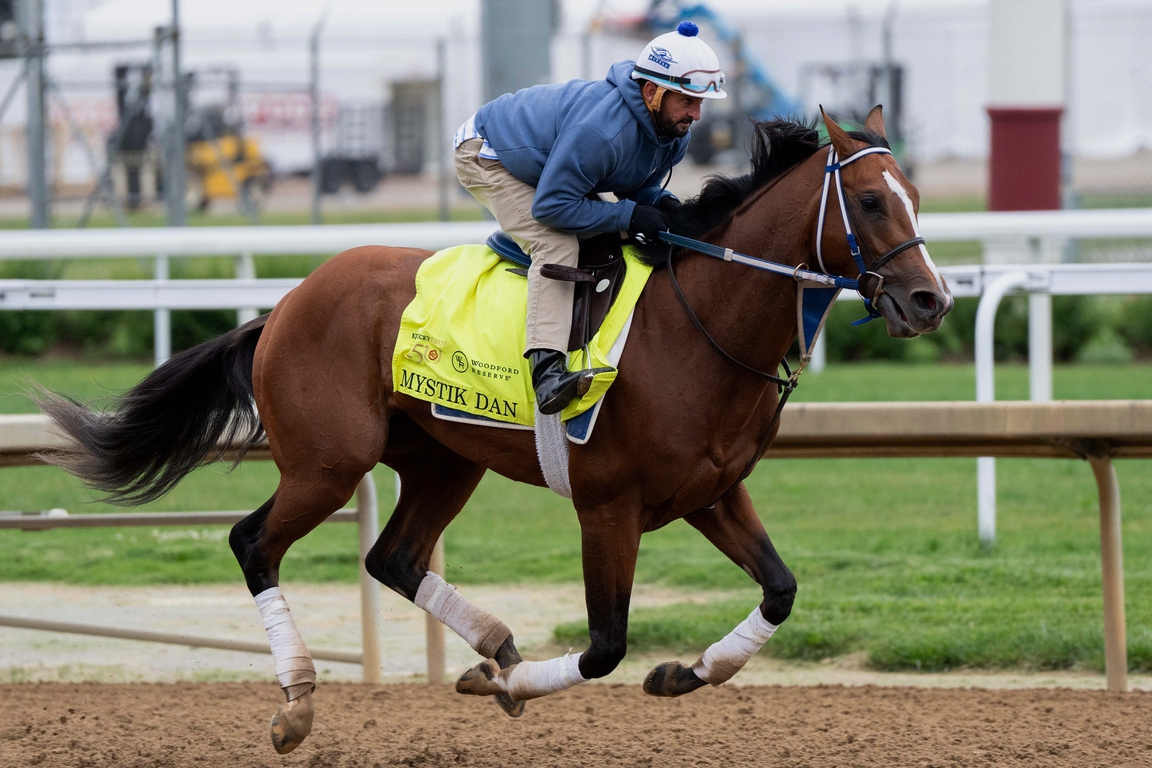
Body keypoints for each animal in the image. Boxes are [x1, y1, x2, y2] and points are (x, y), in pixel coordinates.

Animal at [38, 109, 953, 755]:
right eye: (871, 199)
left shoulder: (713, 492)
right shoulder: (607, 506)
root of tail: (286, 303)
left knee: (393, 558)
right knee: (253, 542)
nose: (930, 300)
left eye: (915, 194)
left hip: (444, 462)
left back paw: (497, 648)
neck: (700, 326)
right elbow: (603, 647)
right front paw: (516, 687)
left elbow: (780, 590)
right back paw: (297, 703)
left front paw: (680, 672)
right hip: (328, 463)